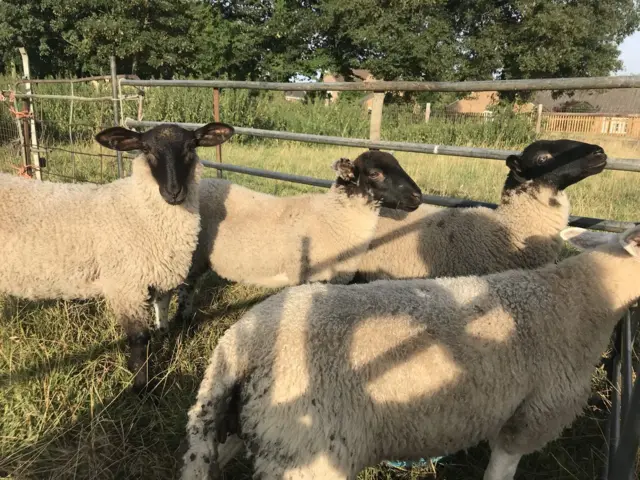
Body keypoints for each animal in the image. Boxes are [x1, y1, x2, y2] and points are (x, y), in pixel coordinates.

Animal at [0, 121, 234, 392]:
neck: (138, 209)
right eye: (146, 149)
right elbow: (140, 338)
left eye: (190, 147)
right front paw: (141, 386)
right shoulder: (126, 286)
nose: (174, 192)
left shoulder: (155, 278)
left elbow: (161, 318)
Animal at [156, 150, 422, 326]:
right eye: (375, 173)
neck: (333, 218)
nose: (418, 197)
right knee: (167, 292)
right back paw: (164, 327)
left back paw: (184, 319)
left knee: (188, 287)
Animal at [180, 223, 640, 480]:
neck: (578, 297)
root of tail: (240, 344)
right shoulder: (531, 417)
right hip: (305, 454)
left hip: (239, 426)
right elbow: (500, 472)